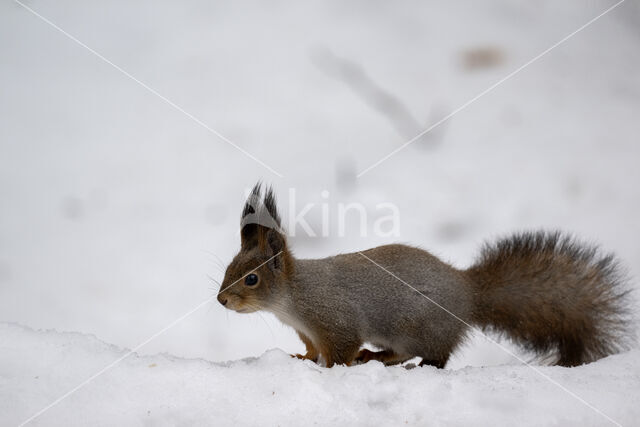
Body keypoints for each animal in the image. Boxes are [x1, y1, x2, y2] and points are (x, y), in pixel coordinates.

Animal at [216, 184, 636, 368]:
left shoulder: (336, 320)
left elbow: (341, 350)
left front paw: (332, 368)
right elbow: (312, 349)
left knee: (432, 356)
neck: (293, 298)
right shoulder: (309, 331)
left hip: (414, 327)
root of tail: (469, 293)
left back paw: (397, 360)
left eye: (251, 279)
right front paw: (302, 359)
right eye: (228, 269)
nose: (221, 300)